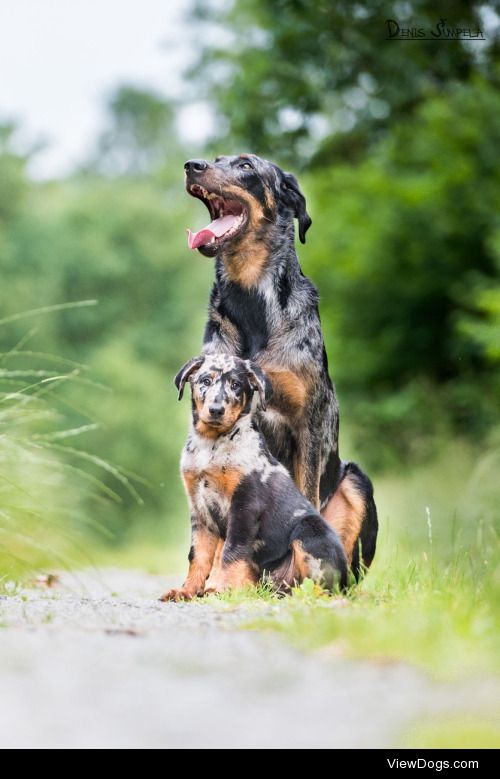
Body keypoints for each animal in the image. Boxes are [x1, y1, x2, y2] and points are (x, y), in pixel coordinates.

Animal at [161, 354, 348, 604]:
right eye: (205, 380)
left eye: (236, 385)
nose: (216, 410)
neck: (211, 444)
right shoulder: (199, 511)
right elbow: (197, 556)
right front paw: (186, 591)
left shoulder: (245, 505)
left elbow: (231, 552)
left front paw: (221, 589)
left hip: (308, 532)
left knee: (323, 586)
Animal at [183, 154, 376, 580]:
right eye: (215, 158)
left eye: (245, 165)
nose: (192, 165)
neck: (251, 300)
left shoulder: (308, 423)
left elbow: (305, 494)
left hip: (356, 482)